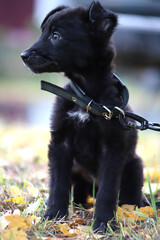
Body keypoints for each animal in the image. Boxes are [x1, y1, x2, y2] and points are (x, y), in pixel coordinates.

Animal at [20, 1, 143, 233]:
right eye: (43, 32)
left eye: (56, 36)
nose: (23, 55)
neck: (87, 98)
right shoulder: (60, 144)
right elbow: (57, 186)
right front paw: (54, 217)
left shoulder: (112, 149)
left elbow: (107, 191)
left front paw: (104, 224)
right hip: (77, 170)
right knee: (78, 195)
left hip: (135, 165)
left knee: (129, 199)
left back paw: (139, 208)